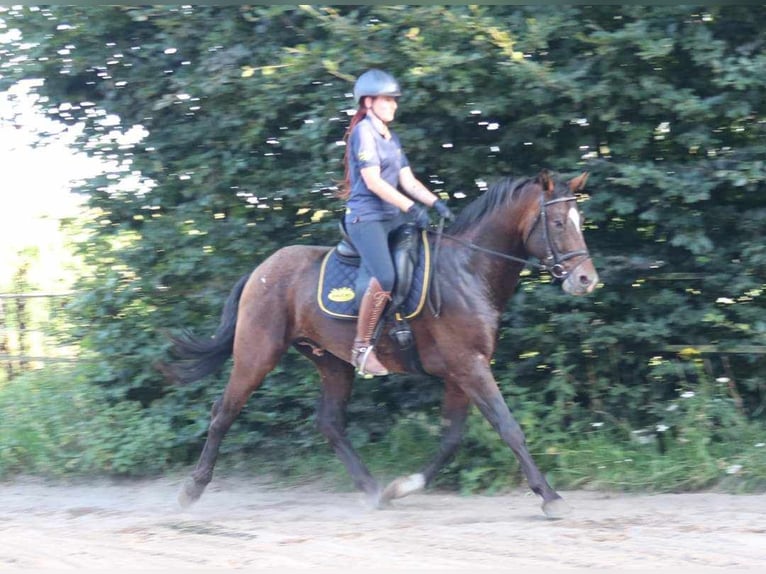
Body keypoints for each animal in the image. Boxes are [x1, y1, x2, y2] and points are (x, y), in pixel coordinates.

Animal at [171, 169, 604, 520]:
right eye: (558, 222)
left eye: (580, 221)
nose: (586, 279)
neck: (468, 269)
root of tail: (261, 269)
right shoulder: (470, 365)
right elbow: (509, 428)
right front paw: (549, 496)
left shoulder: (459, 373)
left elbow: (451, 438)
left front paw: (402, 487)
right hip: (257, 353)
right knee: (224, 411)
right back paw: (192, 489)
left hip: (332, 362)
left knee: (329, 422)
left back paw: (373, 489)